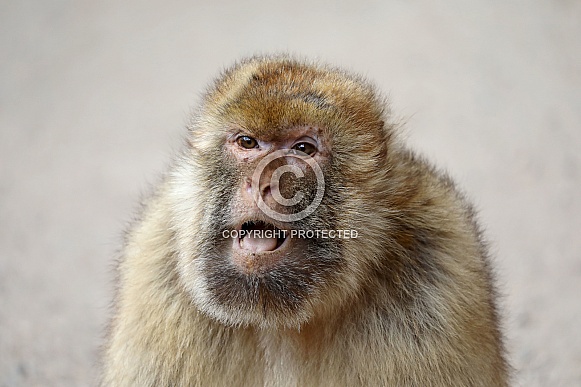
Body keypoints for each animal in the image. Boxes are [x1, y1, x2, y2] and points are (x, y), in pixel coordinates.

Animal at [102, 55, 510, 387]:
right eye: (248, 143)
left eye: (303, 149)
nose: (263, 183)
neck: (277, 319)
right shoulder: (157, 277)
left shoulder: (435, 278)